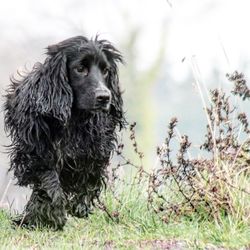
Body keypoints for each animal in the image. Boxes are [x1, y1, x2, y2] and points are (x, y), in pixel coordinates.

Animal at [3, 36, 125, 229]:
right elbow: (50, 182)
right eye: (80, 69)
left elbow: (90, 178)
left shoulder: (96, 148)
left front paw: (79, 206)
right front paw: (54, 214)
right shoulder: (35, 152)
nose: (105, 97)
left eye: (106, 71)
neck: (74, 118)